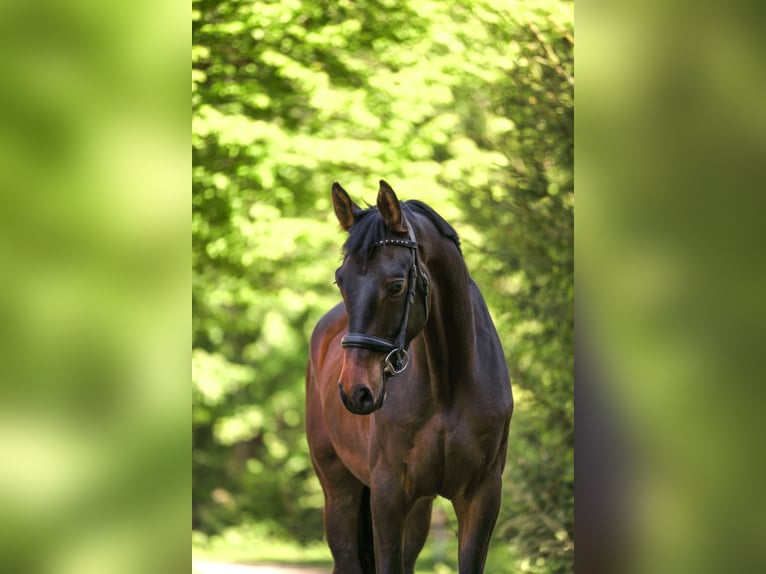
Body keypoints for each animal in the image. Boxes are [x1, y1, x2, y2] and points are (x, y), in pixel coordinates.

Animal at [305, 180, 513, 573]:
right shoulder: (388, 494)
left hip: (419, 508)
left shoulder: (482, 496)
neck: (447, 387)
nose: (356, 391)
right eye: (341, 280)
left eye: (397, 286)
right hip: (338, 489)